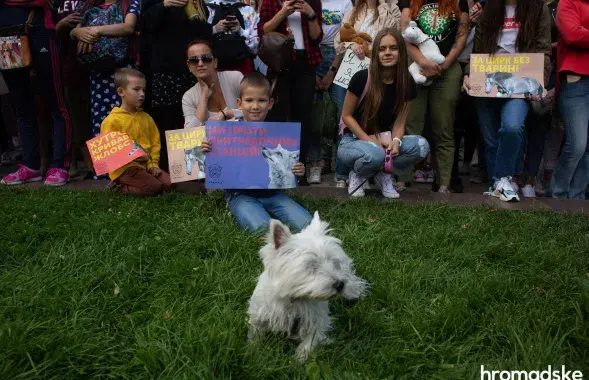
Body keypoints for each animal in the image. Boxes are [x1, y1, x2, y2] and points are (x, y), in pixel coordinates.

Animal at [246, 212, 366, 360]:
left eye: (334, 262)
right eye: (311, 266)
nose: (339, 285)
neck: (295, 298)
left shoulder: (316, 323)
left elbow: (308, 344)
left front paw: (299, 360)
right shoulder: (259, 314)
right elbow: (255, 334)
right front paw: (252, 349)